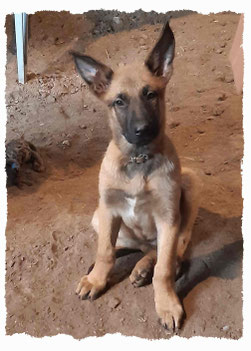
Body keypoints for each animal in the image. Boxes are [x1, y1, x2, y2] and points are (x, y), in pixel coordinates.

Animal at [71, 20, 201, 334]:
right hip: (98, 216)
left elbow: (164, 269)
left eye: (150, 94)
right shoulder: (108, 210)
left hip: (191, 185)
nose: (142, 130)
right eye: (119, 102)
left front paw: (166, 304)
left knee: (174, 250)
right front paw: (97, 279)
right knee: (129, 246)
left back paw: (146, 269)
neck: (138, 160)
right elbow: (104, 250)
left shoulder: (168, 217)